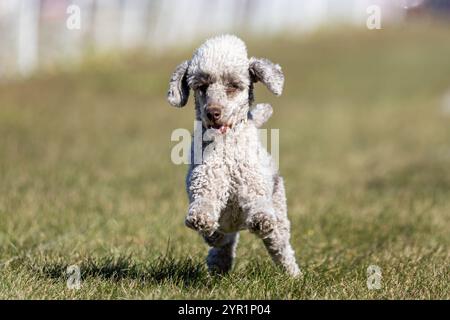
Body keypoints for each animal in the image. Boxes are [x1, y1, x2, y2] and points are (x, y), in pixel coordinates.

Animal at [167, 33, 300, 276]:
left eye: (233, 85)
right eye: (201, 85)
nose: (213, 112)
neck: (226, 150)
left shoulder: (253, 185)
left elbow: (258, 204)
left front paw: (261, 219)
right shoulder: (204, 182)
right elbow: (204, 203)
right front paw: (201, 219)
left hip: (279, 220)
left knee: (281, 248)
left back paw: (293, 275)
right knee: (223, 244)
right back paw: (217, 260)